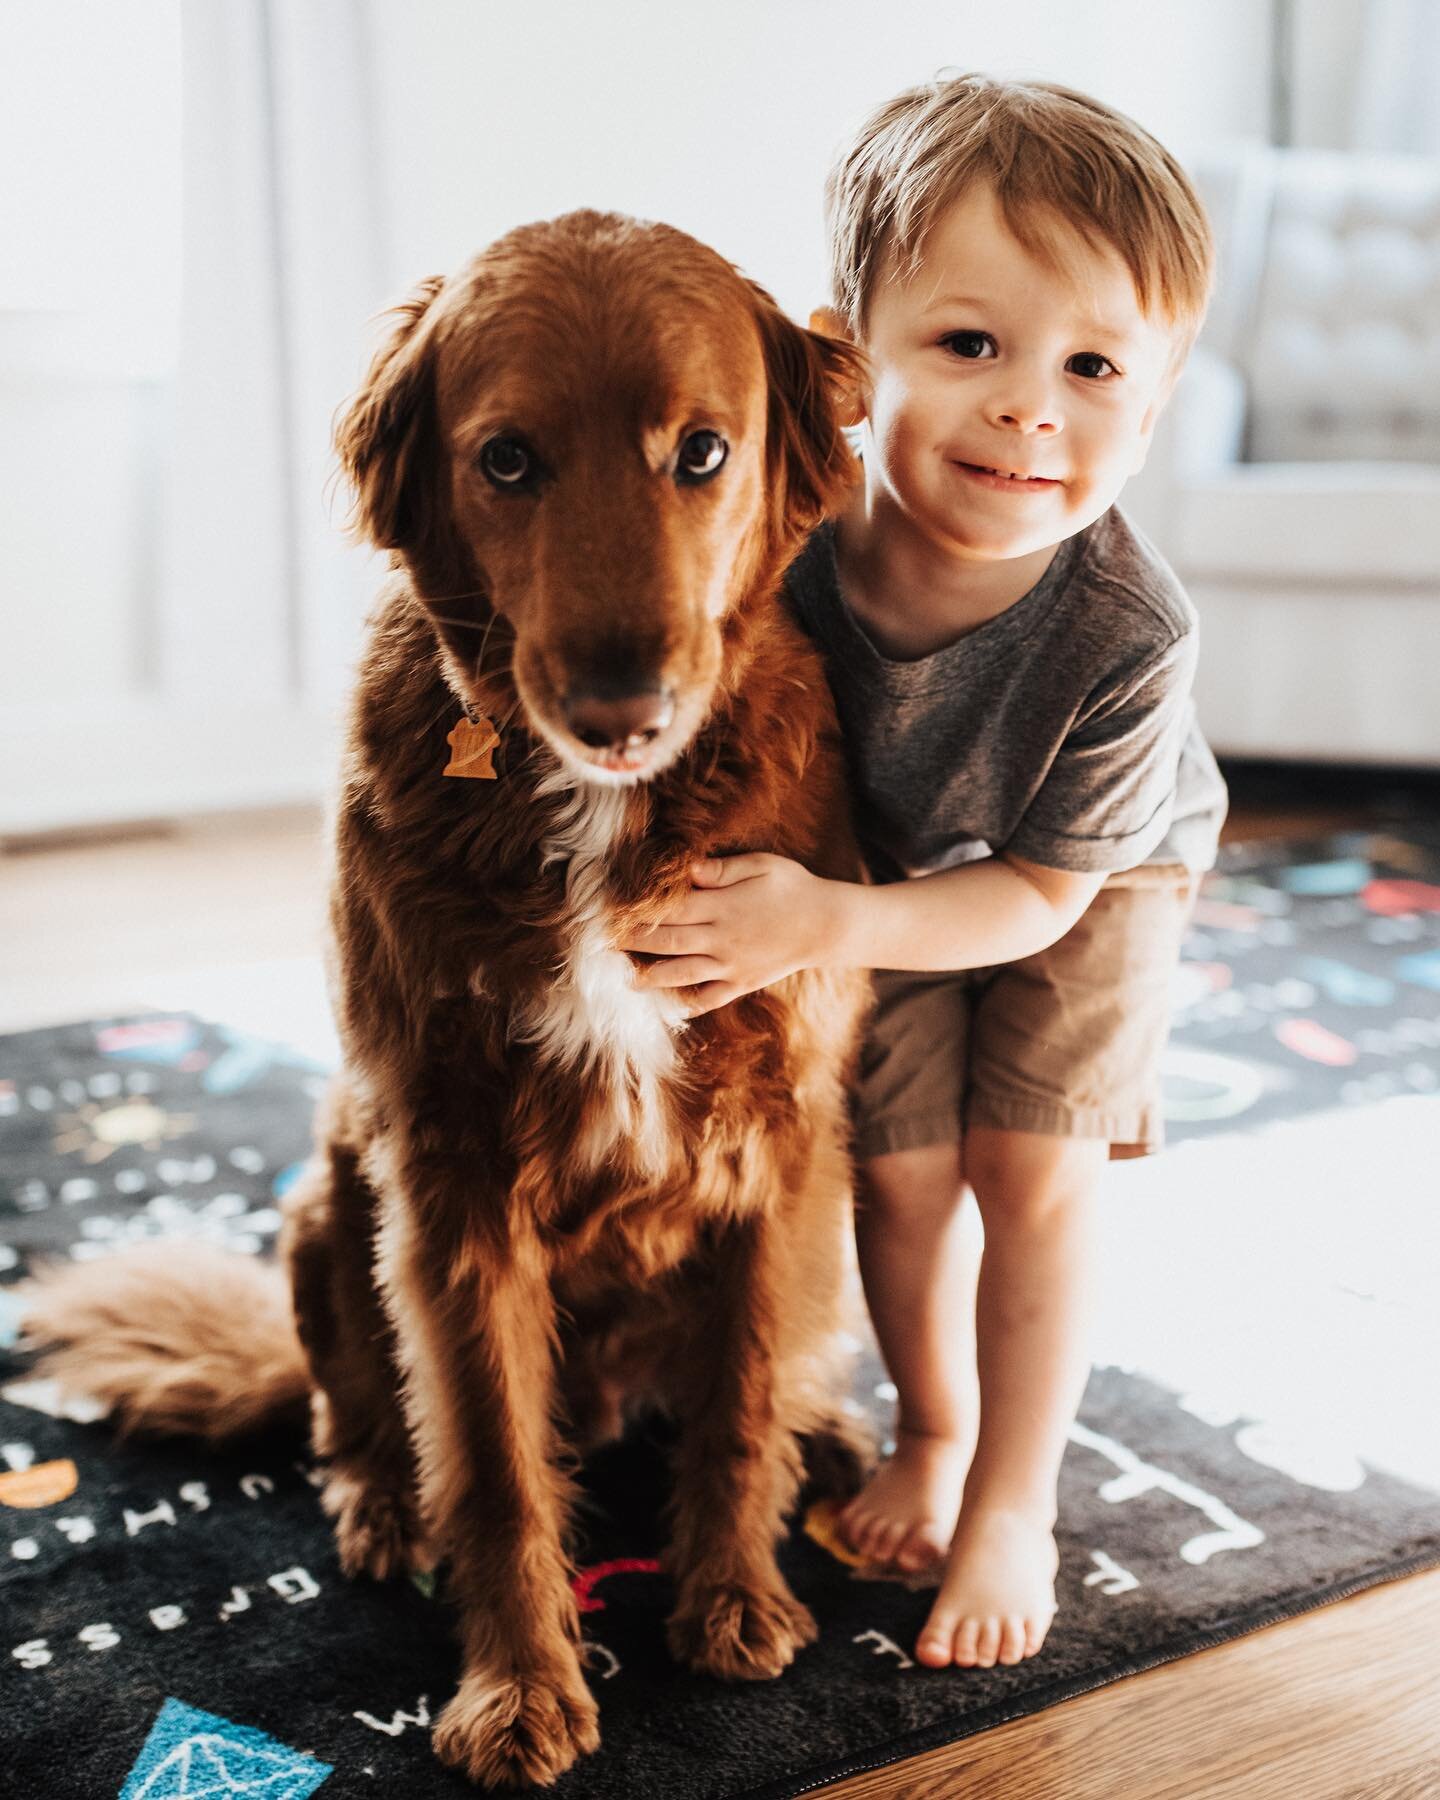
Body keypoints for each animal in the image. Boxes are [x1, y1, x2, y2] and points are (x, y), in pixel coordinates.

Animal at [22, 210, 871, 1785]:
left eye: (703, 452)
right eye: (509, 460)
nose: (620, 709)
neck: (603, 822)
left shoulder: (782, 1149)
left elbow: (736, 1402)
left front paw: (732, 1599)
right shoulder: (450, 1176)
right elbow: (487, 1459)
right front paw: (521, 1689)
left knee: (749, 1380)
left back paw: (829, 1436)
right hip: (326, 1204)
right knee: (353, 1419)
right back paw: (377, 1510)